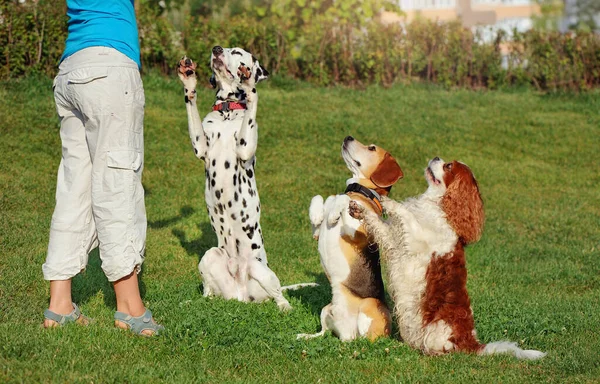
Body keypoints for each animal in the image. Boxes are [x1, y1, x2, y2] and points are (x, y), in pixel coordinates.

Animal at [176, 45, 312, 312]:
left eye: (237, 51)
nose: (217, 49)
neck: (228, 111)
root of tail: (239, 293)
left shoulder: (245, 148)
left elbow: (252, 103)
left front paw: (249, 88)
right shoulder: (200, 146)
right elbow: (191, 104)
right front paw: (189, 81)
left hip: (260, 269)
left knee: (279, 295)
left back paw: (285, 307)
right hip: (209, 256)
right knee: (208, 293)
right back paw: (191, 301)